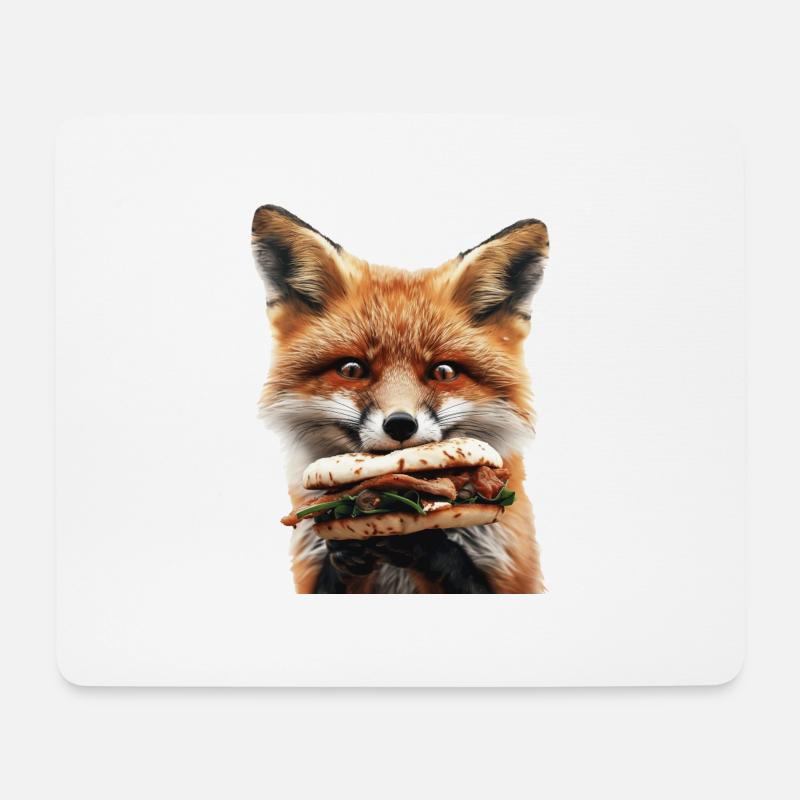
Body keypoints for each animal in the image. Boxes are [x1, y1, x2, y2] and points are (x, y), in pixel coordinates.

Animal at [251, 205, 549, 593]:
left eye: (444, 372)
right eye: (352, 369)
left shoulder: (511, 577)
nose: (400, 424)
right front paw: (348, 549)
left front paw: (425, 542)